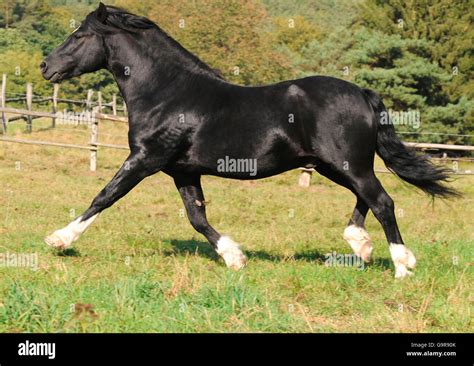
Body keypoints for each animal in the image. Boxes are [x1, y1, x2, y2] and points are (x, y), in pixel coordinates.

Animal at [40, 2, 456, 278]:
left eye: (79, 35)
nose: (46, 66)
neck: (168, 92)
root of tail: (362, 93)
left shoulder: (145, 160)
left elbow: (104, 196)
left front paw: (59, 239)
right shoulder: (182, 171)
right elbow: (197, 217)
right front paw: (234, 257)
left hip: (348, 163)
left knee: (382, 201)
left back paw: (401, 266)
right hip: (334, 165)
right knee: (367, 199)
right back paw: (361, 245)